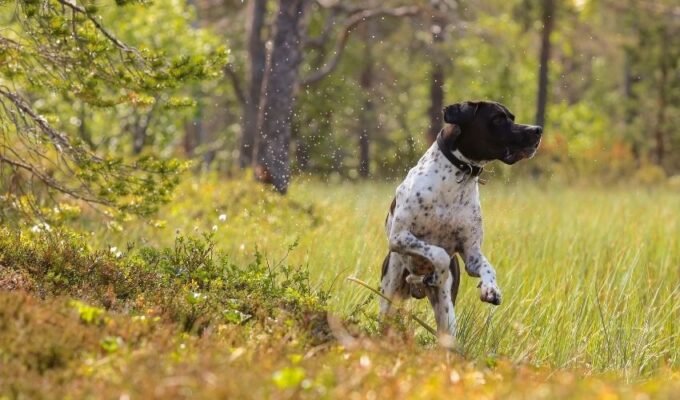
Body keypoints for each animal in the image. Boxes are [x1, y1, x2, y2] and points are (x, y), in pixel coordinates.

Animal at [378, 101, 540, 338]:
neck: (457, 178)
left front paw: (491, 289)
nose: (537, 130)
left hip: (445, 312)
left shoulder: (471, 254)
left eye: (512, 117)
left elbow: (488, 267)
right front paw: (437, 272)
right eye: (498, 119)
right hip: (390, 294)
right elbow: (439, 253)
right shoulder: (400, 237)